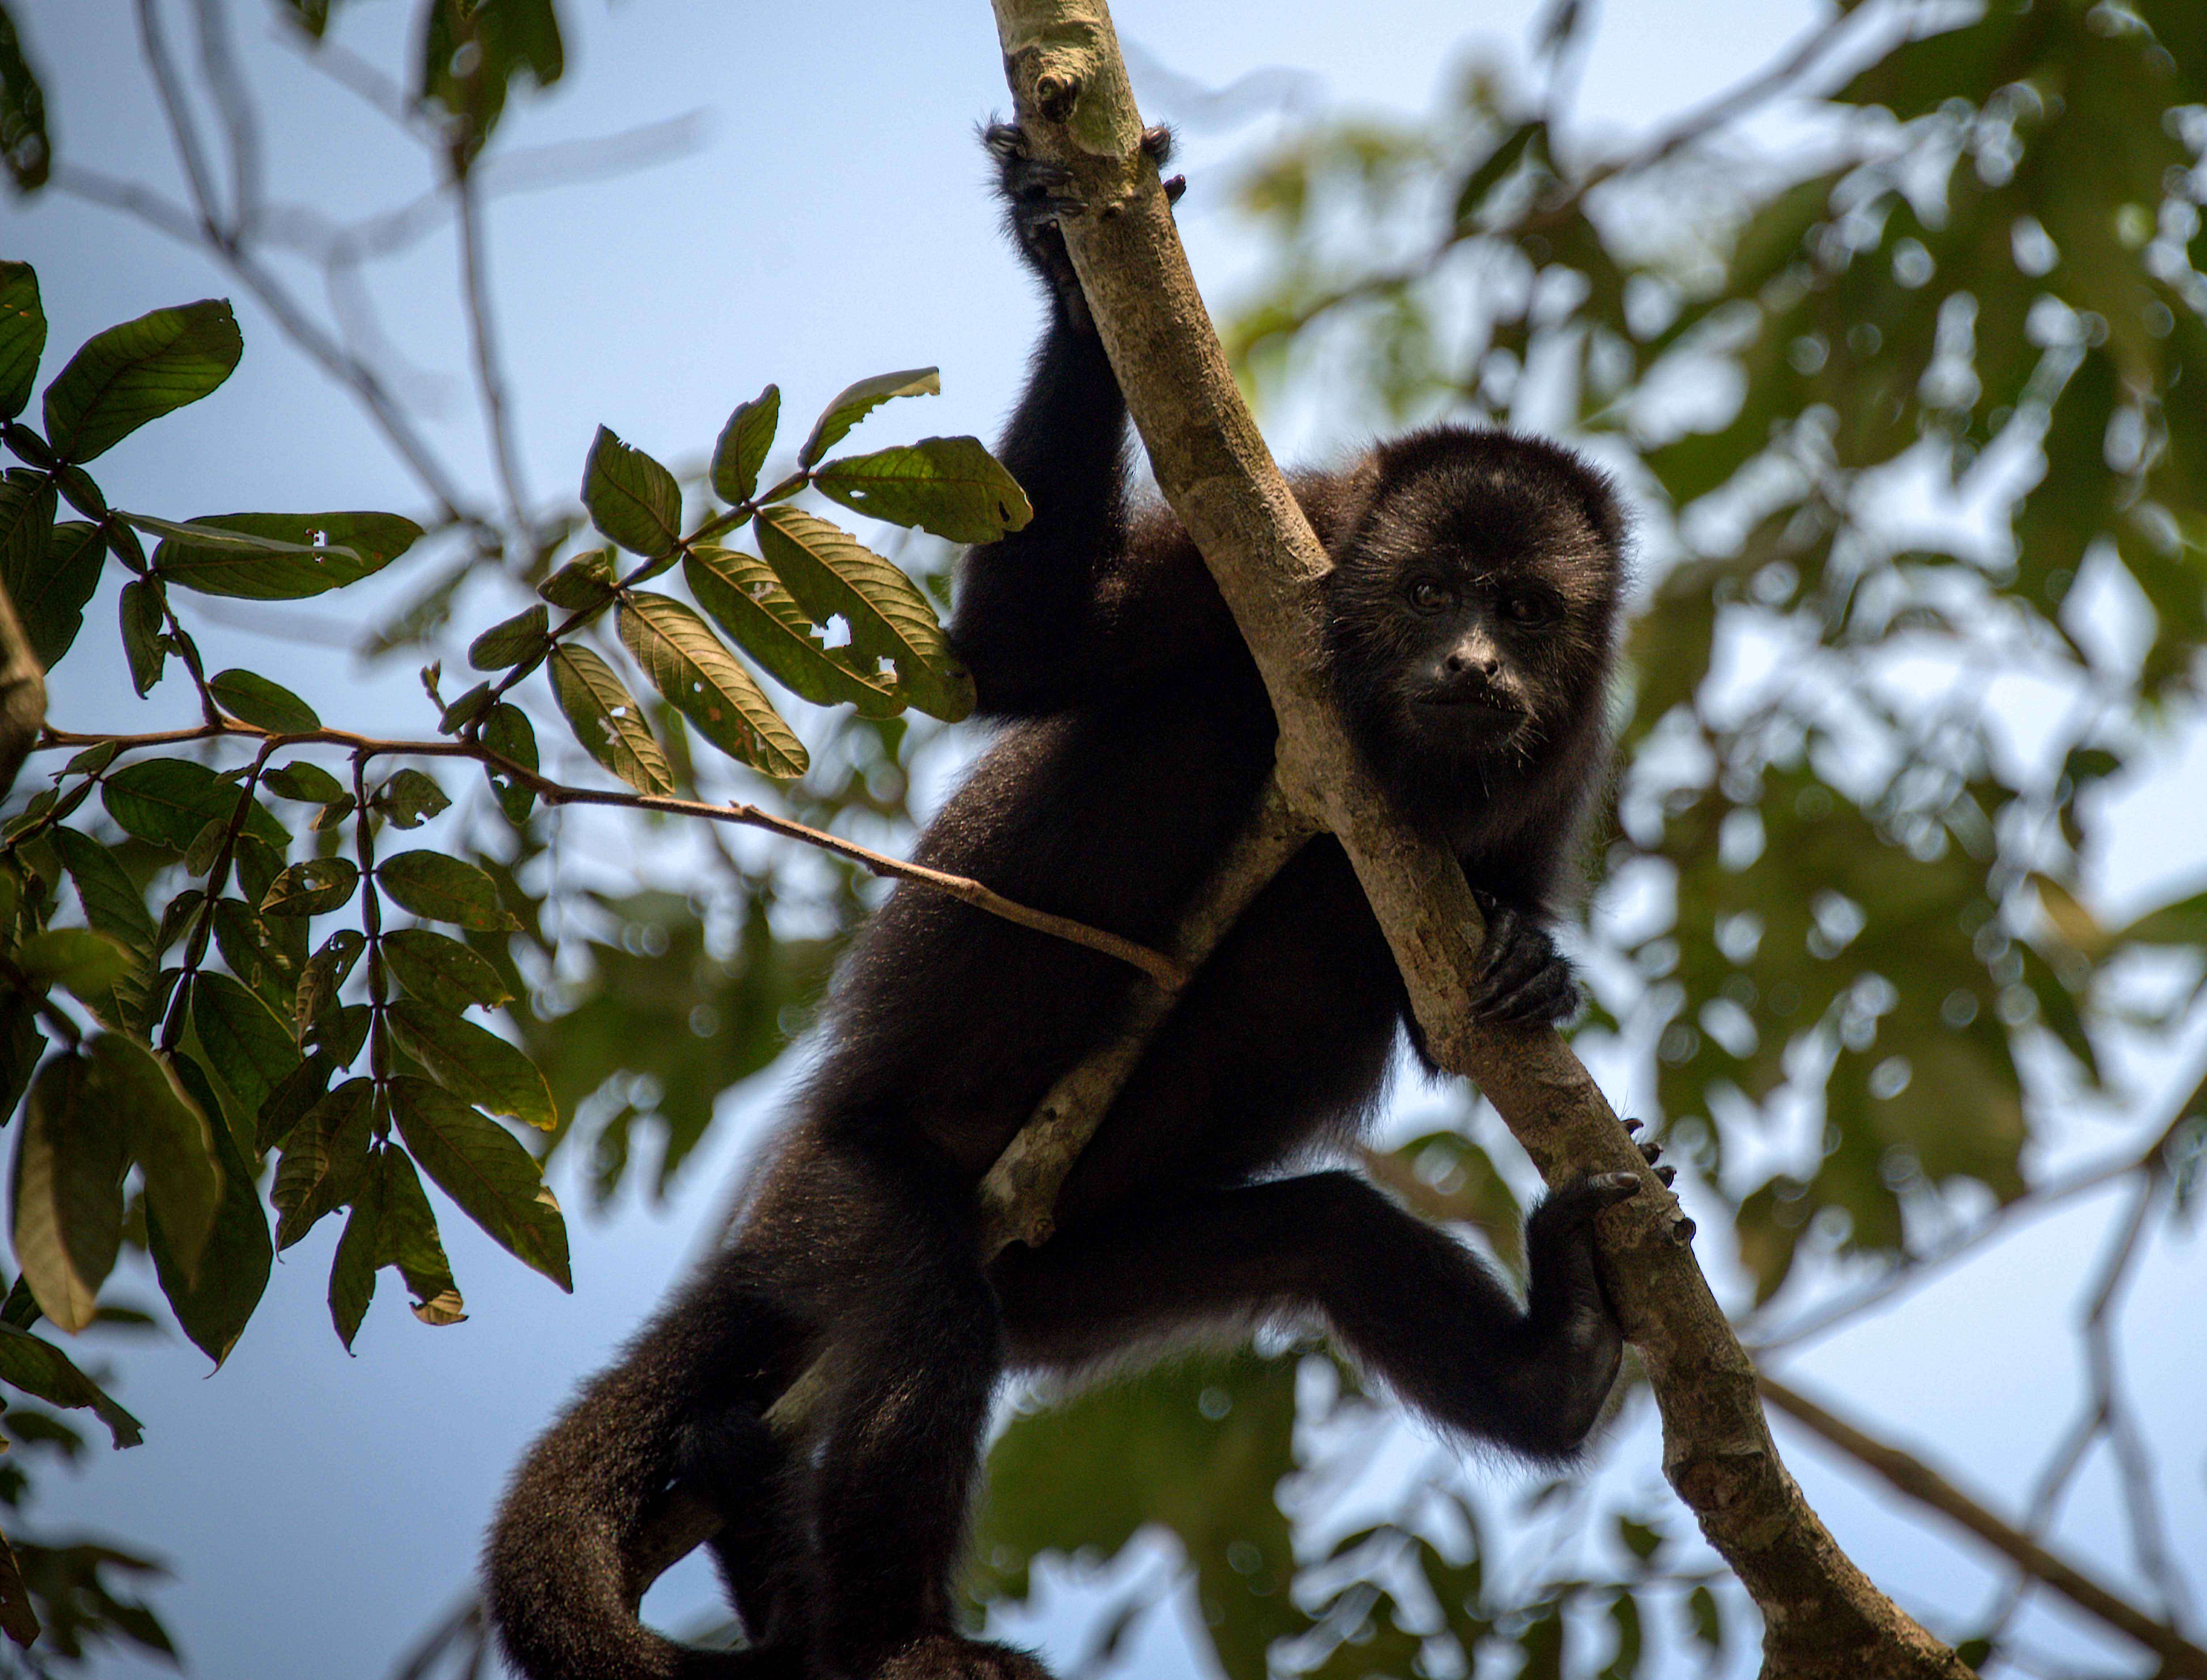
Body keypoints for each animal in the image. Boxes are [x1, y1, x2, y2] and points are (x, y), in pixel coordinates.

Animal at [492, 121, 1651, 1677]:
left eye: (1523, 608)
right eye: (1429, 590)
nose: (1472, 665)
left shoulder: (1566, 754)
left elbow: (1448, 998)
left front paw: (1534, 957)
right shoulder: (1260, 568)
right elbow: (1021, 649)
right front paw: (1068, 270)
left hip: (1081, 1278)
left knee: (1327, 1236)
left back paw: (1556, 1369)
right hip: (844, 1192)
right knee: (927, 1305)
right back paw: (893, 1639)